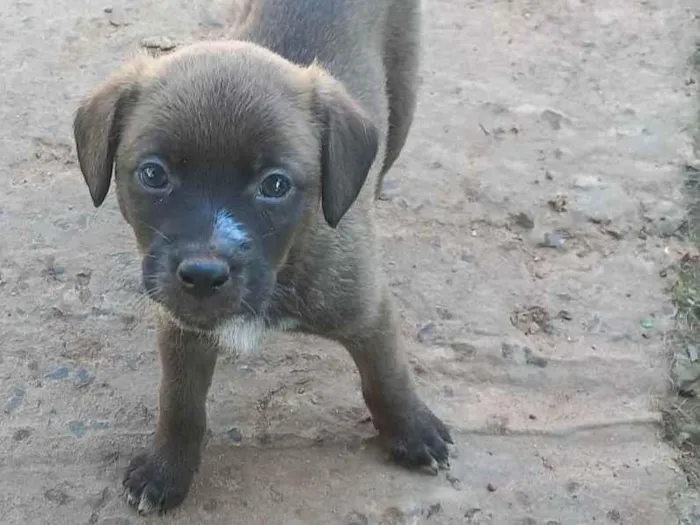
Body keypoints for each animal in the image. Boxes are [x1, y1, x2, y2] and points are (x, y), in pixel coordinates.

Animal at [72, 0, 454, 512]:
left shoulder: (366, 306)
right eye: (153, 174)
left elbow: (388, 374)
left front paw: (412, 430)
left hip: (404, 95)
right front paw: (166, 469)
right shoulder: (179, 324)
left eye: (275, 184)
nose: (204, 275)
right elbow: (179, 402)